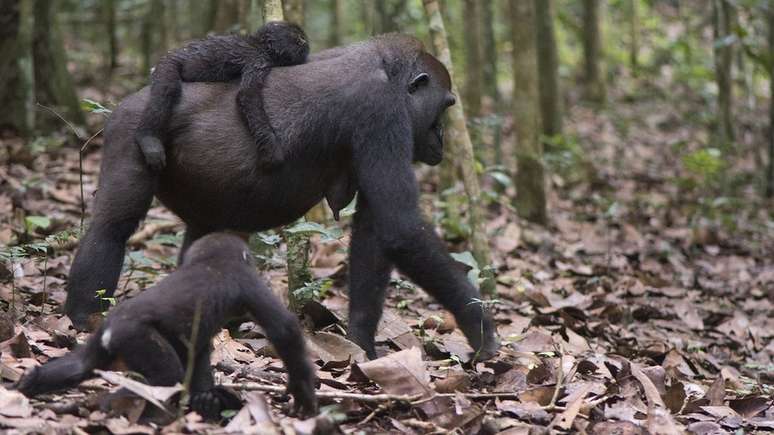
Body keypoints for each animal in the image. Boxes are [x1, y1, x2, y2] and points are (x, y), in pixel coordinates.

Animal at [15, 233, 318, 420]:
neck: (211, 259)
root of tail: (111, 327)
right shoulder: (248, 281)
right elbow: (284, 329)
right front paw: (303, 393)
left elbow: (198, 353)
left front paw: (206, 399)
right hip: (136, 337)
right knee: (165, 377)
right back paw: (117, 405)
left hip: (102, 338)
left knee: (80, 365)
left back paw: (26, 384)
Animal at [135, 21, 308, 172]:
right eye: (298, 39)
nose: (306, 44)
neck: (259, 45)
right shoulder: (258, 60)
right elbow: (247, 95)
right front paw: (272, 152)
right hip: (168, 65)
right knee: (166, 90)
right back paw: (148, 140)